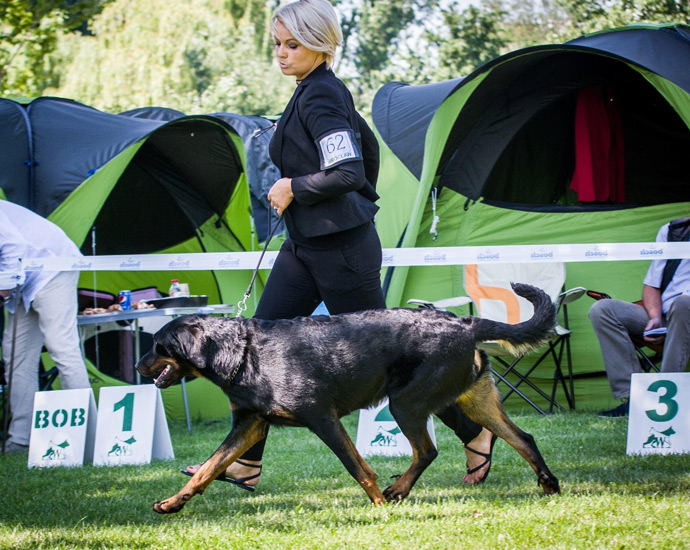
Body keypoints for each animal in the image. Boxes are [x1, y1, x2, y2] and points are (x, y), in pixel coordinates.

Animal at [136, 282, 560, 516]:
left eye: (157, 345)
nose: (138, 366)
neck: (242, 353)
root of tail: (466, 322)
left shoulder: (323, 418)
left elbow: (358, 468)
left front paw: (378, 509)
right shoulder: (250, 424)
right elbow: (208, 469)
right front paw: (172, 503)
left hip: (405, 404)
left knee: (427, 451)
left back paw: (397, 492)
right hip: (474, 399)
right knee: (523, 438)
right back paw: (549, 484)